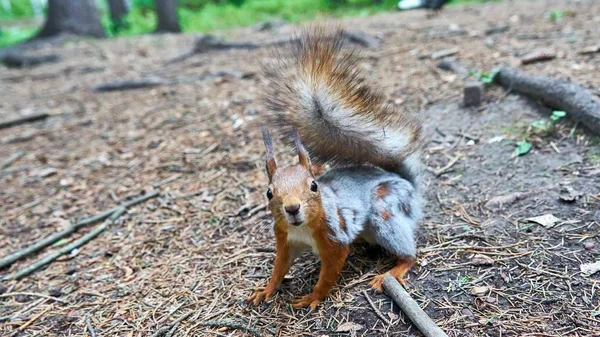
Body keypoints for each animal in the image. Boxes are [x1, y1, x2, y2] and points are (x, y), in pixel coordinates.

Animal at [246, 26, 424, 310]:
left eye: (314, 185)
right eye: (269, 192)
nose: (292, 208)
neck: (302, 229)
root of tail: (405, 182)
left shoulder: (335, 239)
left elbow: (329, 273)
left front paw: (313, 297)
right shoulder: (285, 240)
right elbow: (279, 268)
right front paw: (266, 290)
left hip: (386, 212)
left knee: (408, 253)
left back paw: (393, 271)